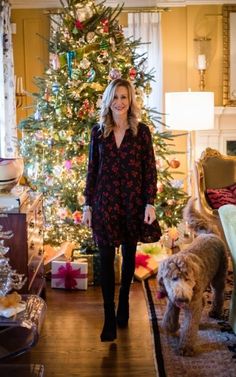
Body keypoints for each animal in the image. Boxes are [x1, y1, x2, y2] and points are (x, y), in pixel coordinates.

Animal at [158, 198, 228, 356]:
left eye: (187, 279)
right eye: (173, 279)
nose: (183, 298)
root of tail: (209, 233)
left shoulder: (192, 306)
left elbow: (189, 327)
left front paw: (185, 347)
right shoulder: (172, 300)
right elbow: (170, 316)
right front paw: (170, 327)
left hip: (219, 276)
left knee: (218, 293)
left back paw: (215, 311)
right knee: (204, 299)